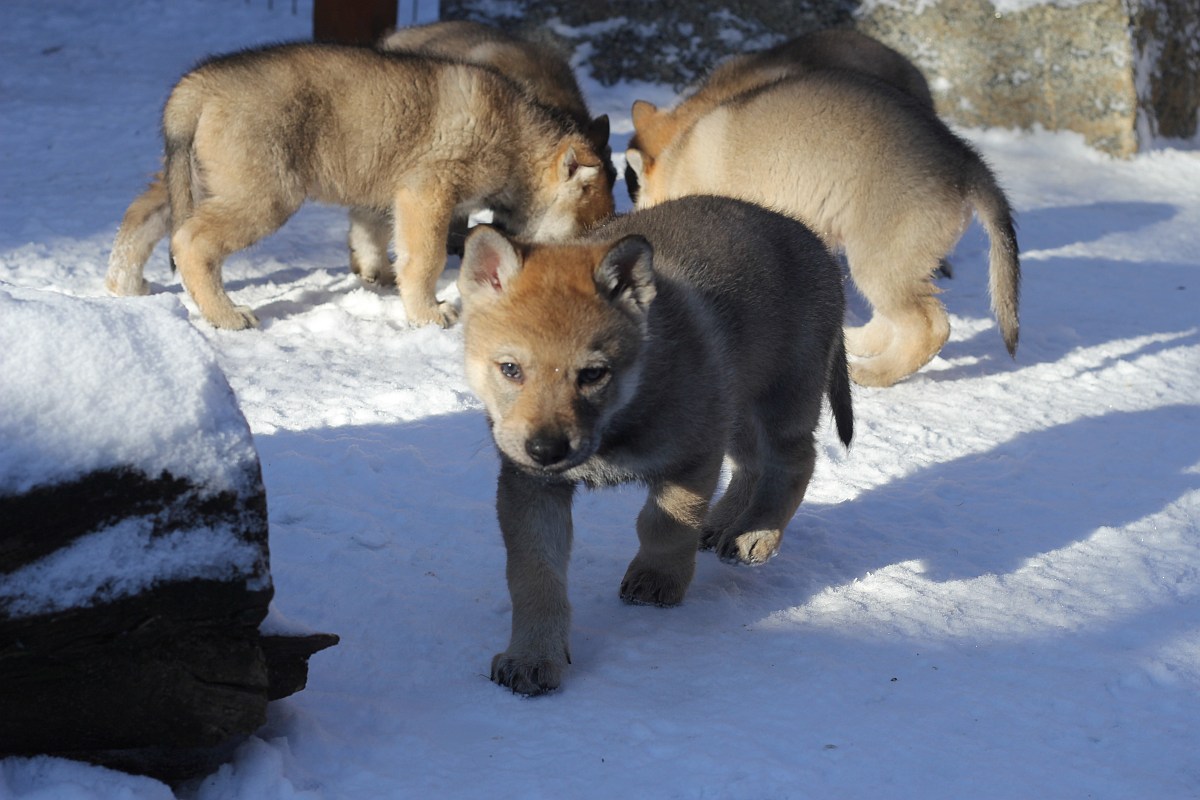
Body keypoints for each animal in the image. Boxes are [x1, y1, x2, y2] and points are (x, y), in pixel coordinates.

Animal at [104, 39, 614, 328]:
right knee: (192, 242)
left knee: (140, 216)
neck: (519, 138)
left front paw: (378, 276)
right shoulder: (428, 192)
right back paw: (226, 316)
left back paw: (123, 287)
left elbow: (374, 236)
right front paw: (428, 314)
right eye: (587, 232)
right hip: (264, 193)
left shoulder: (386, 195)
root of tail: (198, 84)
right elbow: (425, 258)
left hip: (195, 179)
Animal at [458, 195, 854, 695]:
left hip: (780, 399)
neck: (619, 422)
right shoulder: (532, 488)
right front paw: (532, 657)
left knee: (795, 462)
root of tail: (820, 248)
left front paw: (657, 580)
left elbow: (663, 525)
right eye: (510, 369)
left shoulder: (692, 455)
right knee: (751, 465)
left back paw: (755, 533)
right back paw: (722, 524)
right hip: (738, 405)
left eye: (593, 374)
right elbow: (535, 577)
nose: (546, 450)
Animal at [628, 70, 1022, 388]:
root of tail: (963, 161)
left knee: (929, 327)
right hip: (891, 261)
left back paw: (873, 374)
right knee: (892, 321)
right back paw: (857, 342)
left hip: (879, 260)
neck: (681, 162)